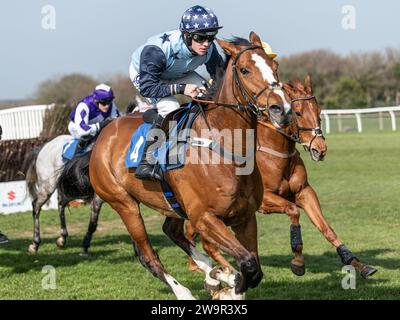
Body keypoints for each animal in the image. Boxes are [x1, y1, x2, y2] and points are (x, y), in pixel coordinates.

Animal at [90, 31, 290, 298]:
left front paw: (224, 280)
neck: (226, 150)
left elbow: (254, 267)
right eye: (245, 70)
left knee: (172, 231)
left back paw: (212, 272)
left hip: (173, 204)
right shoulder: (205, 218)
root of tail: (104, 133)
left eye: (274, 67)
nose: (282, 108)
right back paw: (185, 290)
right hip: (123, 203)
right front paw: (229, 285)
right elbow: (248, 264)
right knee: (148, 256)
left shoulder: (245, 217)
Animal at [186, 77, 376, 282]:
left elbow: (326, 229)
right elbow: (293, 211)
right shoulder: (265, 200)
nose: (320, 149)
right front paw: (298, 262)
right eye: (298, 112)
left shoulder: (304, 191)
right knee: (201, 238)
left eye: (319, 111)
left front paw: (358, 264)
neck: (276, 153)